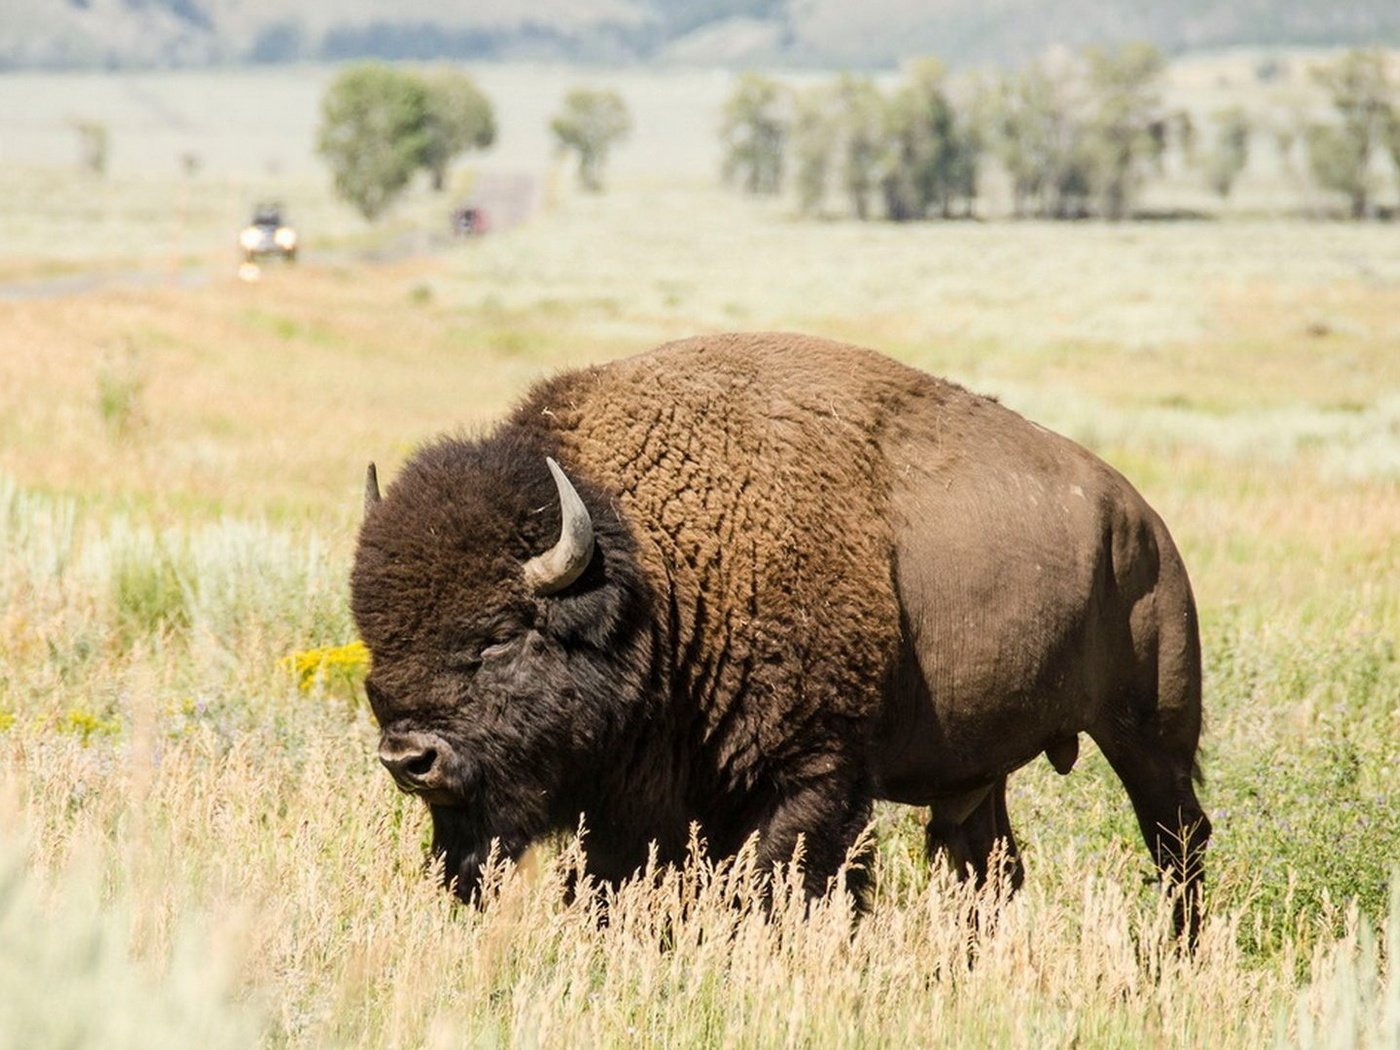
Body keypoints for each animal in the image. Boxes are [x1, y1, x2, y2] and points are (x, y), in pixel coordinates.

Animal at [355, 334, 1209, 935]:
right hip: (980, 772)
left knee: (1178, 843)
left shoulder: (811, 775)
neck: (657, 571)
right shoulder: (643, 802)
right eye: (373, 639)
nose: (409, 758)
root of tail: (1141, 521)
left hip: (1151, 735)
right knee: (989, 867)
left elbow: (778, 887)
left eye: (500, 636)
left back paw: (1174, 959)